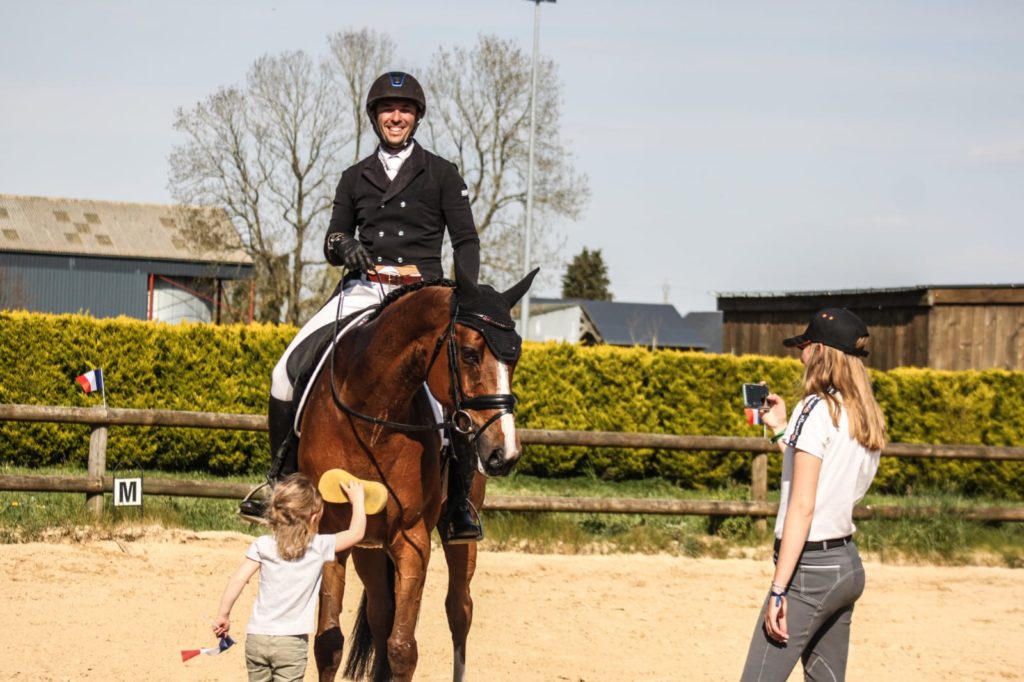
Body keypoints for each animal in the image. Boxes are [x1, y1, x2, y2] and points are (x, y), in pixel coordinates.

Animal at [296, 262, 536, 675]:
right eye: (470, 354)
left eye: (515, 359)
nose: (504, 453)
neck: (373, 416)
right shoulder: (331, 531)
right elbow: (329, 642)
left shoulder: (412, 539)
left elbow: (403, 648)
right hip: (369, 546)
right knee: (380, 613)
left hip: (458, 537)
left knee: (459, 611)